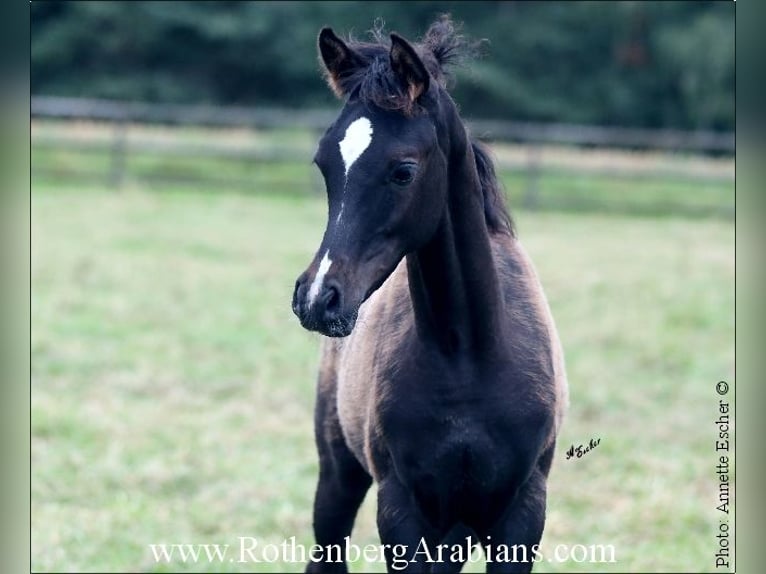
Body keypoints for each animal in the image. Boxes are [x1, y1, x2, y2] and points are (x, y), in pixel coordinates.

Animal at [294, 18, 568, 574]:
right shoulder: (403, 510)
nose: (317, 298)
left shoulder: (522, 514)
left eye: (403, 170)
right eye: (324, 164)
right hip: (340, 471)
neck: (467, 355)